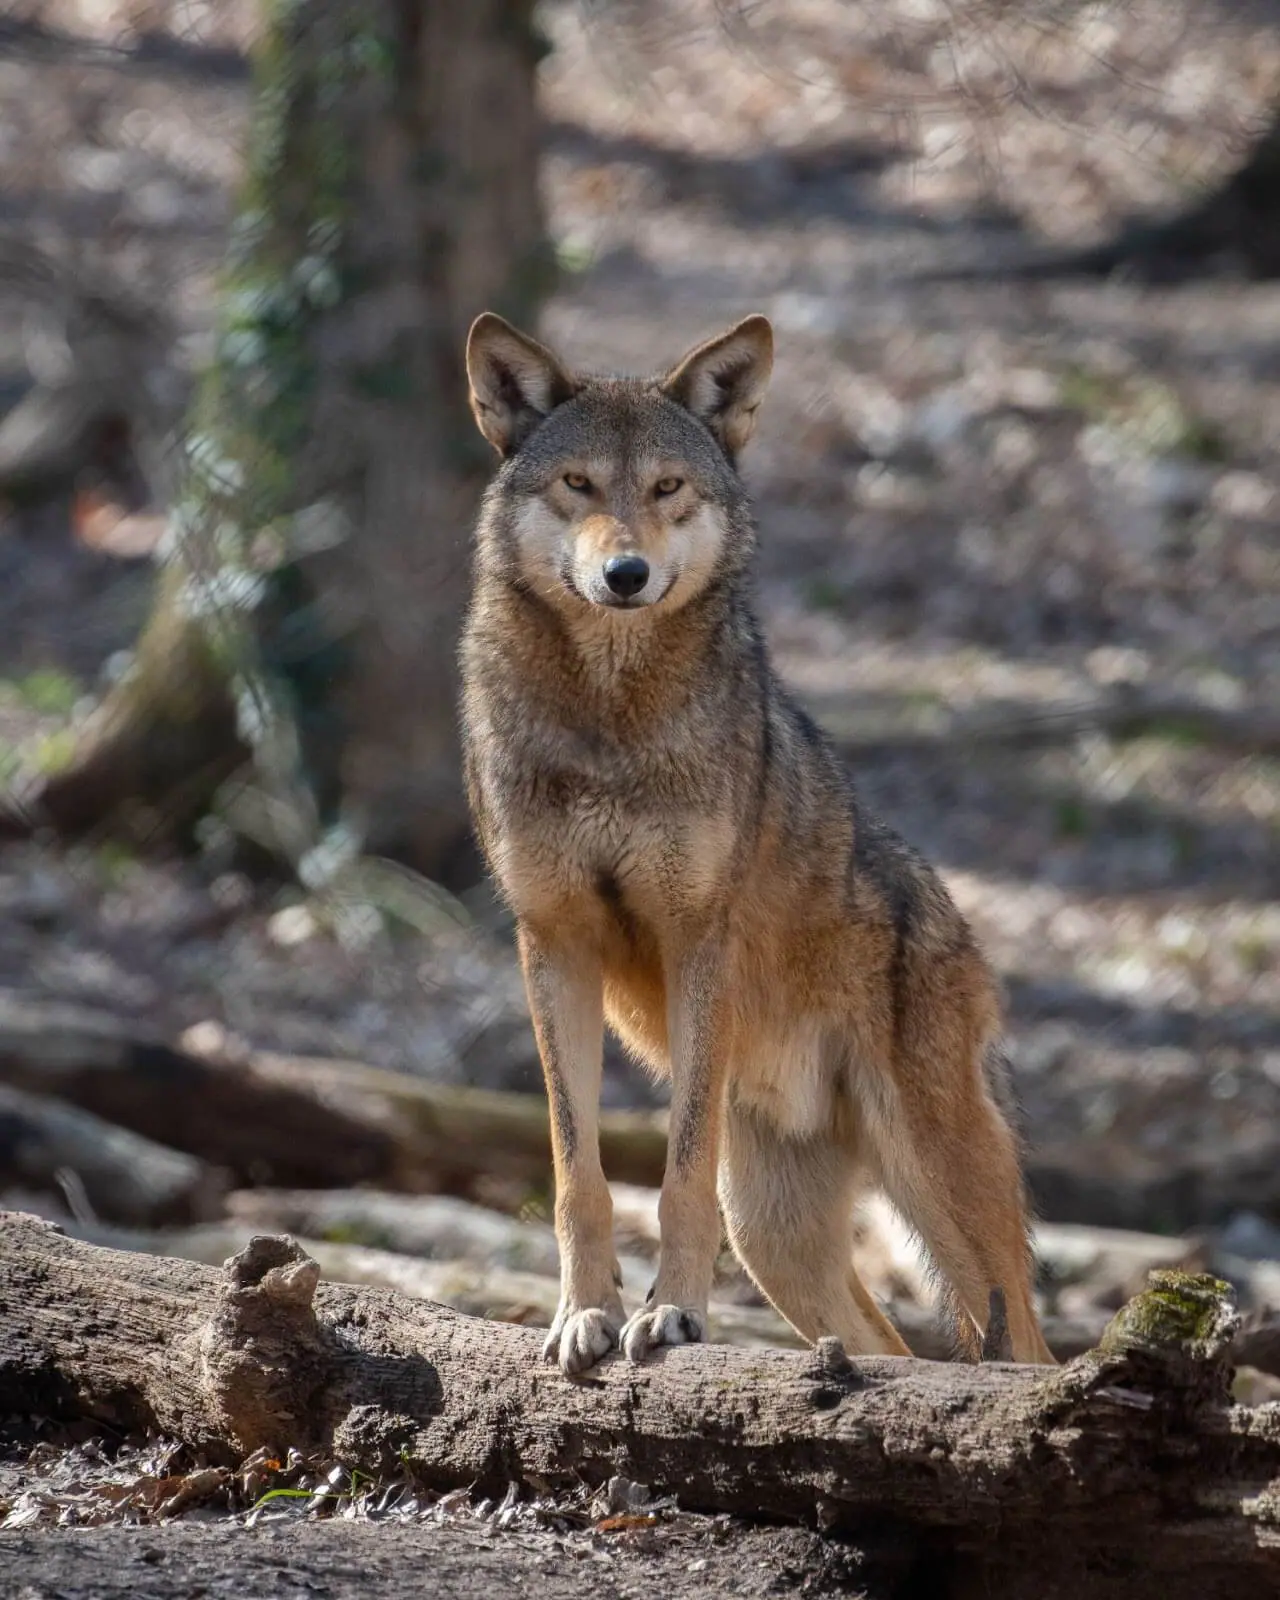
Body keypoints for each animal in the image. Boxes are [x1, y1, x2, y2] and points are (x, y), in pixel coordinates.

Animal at [460, 310, 1055, 1374]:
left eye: (667, 488)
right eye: (578, 484)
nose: (625, 574)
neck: (610, 717)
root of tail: (965, 938)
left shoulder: (698, 936)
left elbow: (677, 1174)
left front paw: (674, 1316)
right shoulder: (553, 945)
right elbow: (578, 1176)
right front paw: (582, 1315)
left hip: (942, 1193)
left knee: (1025, 1349)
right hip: (779, 1237)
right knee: (890, 1348)